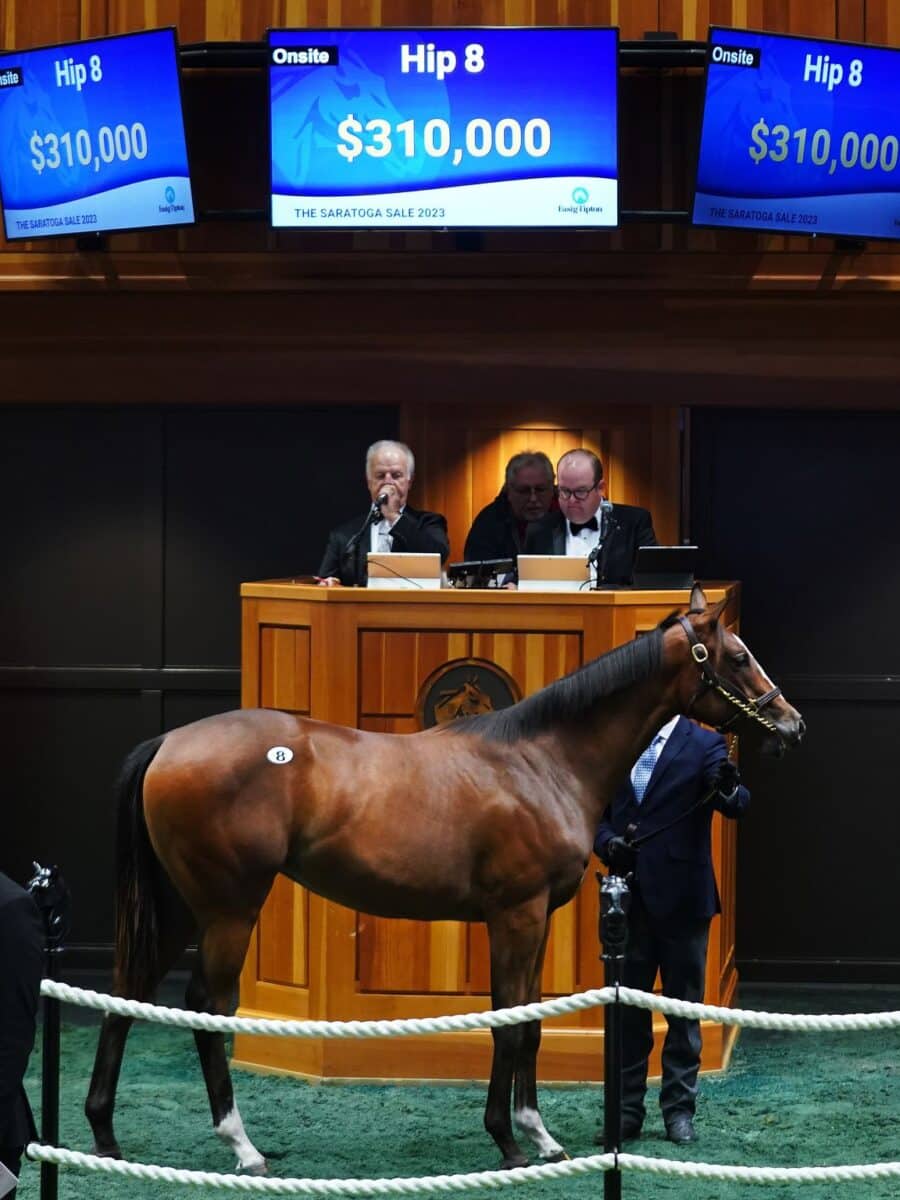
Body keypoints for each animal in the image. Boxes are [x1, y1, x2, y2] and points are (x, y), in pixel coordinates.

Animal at [82, 585, 801, 1176]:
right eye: (737, 655)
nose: (791, 723)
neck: (541, 760)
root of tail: (169, 743)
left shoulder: (534, 918)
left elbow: (531, 1022)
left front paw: (539, 1138)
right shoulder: (515, 914)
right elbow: (510, 1024)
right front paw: (509, 1142)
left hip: (181, 907)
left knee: (129, 992)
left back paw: (105, 1135)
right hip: (229, 910)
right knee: (205, 1006)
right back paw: (242, 1146)